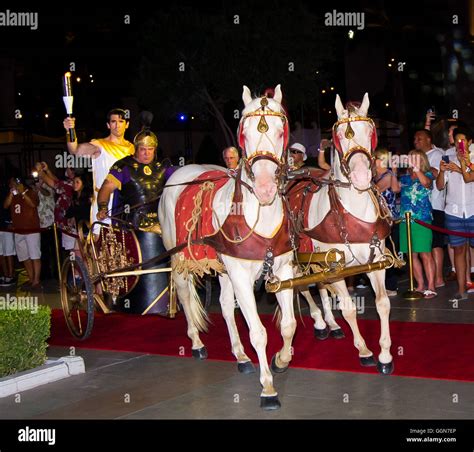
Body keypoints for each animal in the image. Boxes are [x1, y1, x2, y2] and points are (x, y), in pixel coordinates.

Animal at [159, 85, 296, 410]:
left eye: (280, 130)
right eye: (243, 132)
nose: (264, 187)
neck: (260, 212)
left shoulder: (282, 270)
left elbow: (289, 325)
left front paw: (281, 359)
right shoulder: (242, 276)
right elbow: (258, 332)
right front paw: (268, 388)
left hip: (223, 267)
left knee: (223, 304)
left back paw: (241, 355)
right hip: (181, 258)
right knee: (185, 294)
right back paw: (197, 343)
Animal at [290, 92, 394, 374]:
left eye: (371, 132)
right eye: (338, 136)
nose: (360, 176)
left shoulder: (376, 261)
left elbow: (383, 303)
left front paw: (385, 355)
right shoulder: (335, 268)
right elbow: (348, 307)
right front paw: (365, 351)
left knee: (320, 285)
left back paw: (332, 324)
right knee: (304, 287)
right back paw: (320, 322)